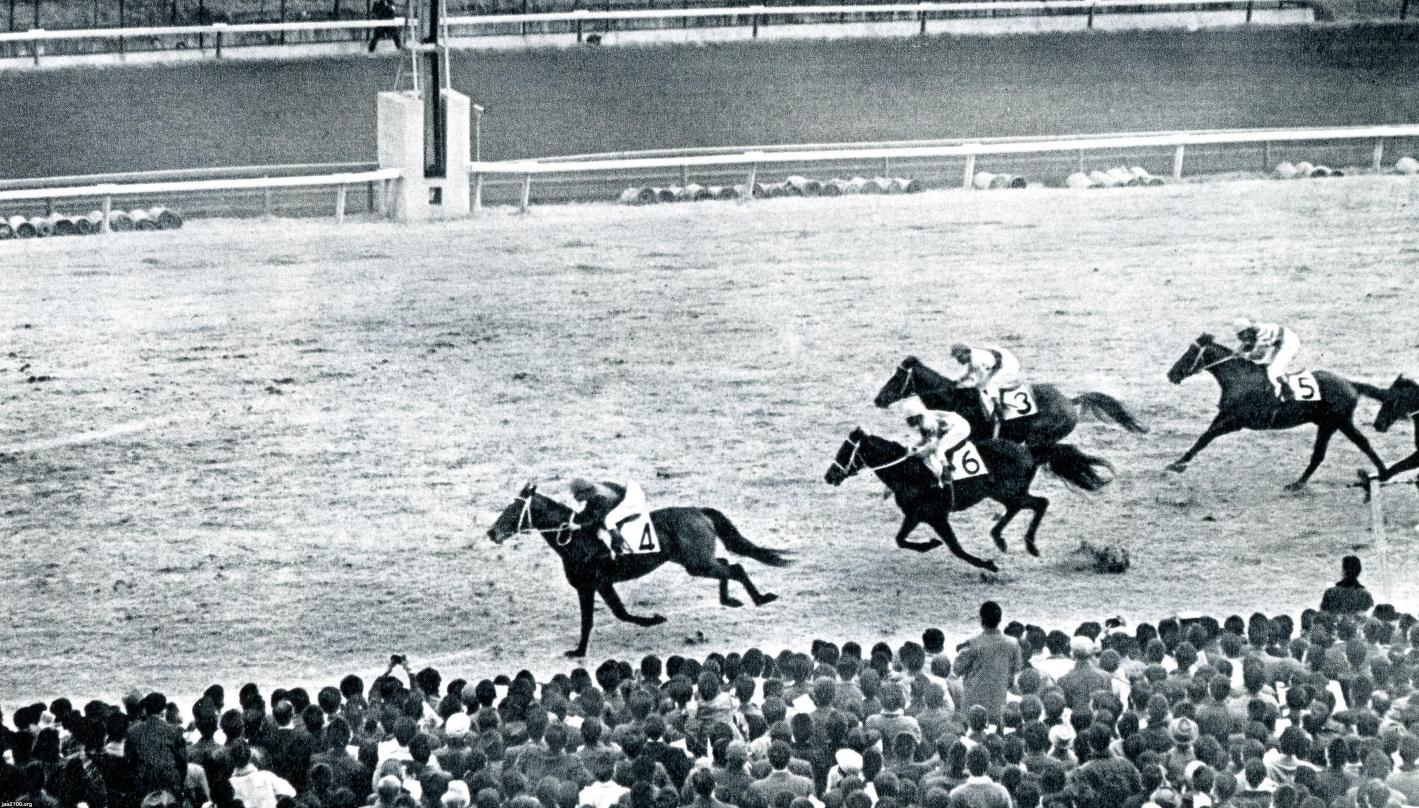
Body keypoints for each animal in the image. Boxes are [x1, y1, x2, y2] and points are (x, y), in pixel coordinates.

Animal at [488, 482, 788, 658]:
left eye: (512, 509)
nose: (492, 532)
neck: (576, 537)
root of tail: (699, 510)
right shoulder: (599, 585)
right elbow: (612, 615)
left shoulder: (591, 584)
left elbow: (604, 617)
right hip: (695, 561)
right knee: (727, 566)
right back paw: (730, 600)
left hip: (696, 563)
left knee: (734, 568)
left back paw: (760, 598)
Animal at [828, 428, 1112, 568]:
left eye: (844, 451)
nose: (829, 476)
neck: (909, 471)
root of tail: (1027, 450)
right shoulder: (916, 515)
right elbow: (900, 540)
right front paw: (929, 544)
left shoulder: (936, 516)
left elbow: (956, 548)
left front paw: (987, 564)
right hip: (1005, 493)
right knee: (1020, 507)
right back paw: (1000, 538)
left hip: (1009, 491)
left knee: (1040, 503)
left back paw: (1028, 544)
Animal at [1163, 330, 1384, 488]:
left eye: (1190, 353)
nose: (1171, 374)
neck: (1239, 378)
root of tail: (1350, 383)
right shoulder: (1225, 415)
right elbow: (1204, 436)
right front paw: (1178, 462)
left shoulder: (1236, 421)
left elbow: (1206, 437)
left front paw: (1177, 465)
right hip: (1331, 424)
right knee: (1337, 449)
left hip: (1336, 422)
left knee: (1347, 447)